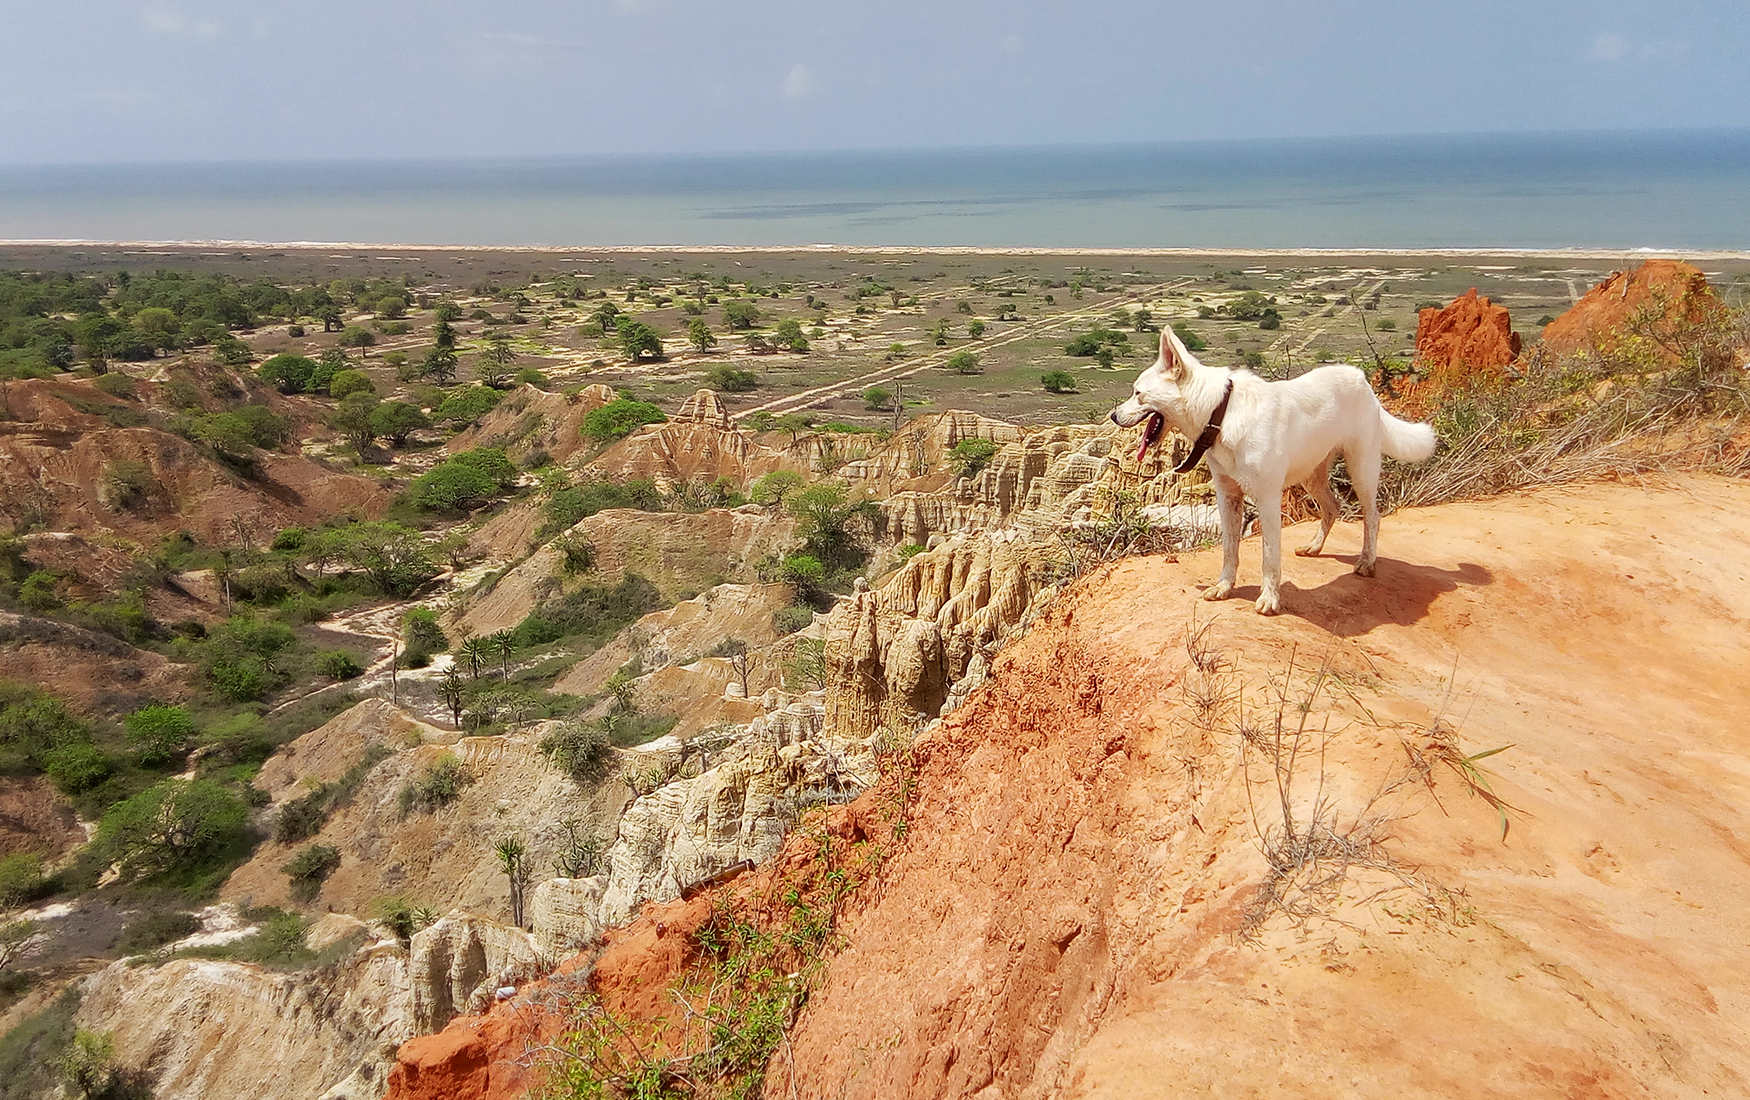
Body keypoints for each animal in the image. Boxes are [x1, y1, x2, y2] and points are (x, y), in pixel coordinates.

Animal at [1106, 325, 1435, 619]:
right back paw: (1314, 547)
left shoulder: (1267, 499)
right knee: (1333, 506)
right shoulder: (1228, 497)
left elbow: (1269, 557)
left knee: (1372, 516)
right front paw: (1224, 587)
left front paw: (1269, 600)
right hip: (1312, 475)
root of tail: (1362, 379)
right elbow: (1230, 549)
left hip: (1361, 469)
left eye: (1138, 393)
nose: (1113, 415)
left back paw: (1367, 562)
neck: (1221, 414)